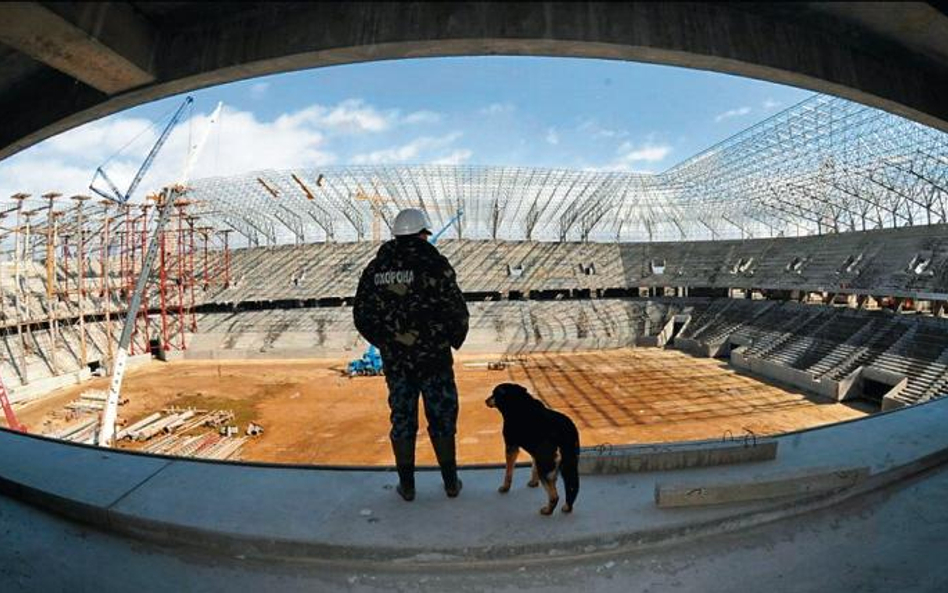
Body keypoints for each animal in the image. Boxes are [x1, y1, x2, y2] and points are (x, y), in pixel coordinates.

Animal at [486, 384, 580, 512]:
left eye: (494, 394)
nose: (485, 401)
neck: (516, 401)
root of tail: (567, 430)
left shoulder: (511, 446)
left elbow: (508, 472)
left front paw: (505, 487)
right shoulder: (535, 452)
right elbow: (533, 467)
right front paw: (534, 483)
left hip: (546, 464)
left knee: (554, 495)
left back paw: (547, 510)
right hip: (568, 462)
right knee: (573, 485)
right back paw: (567, 507)